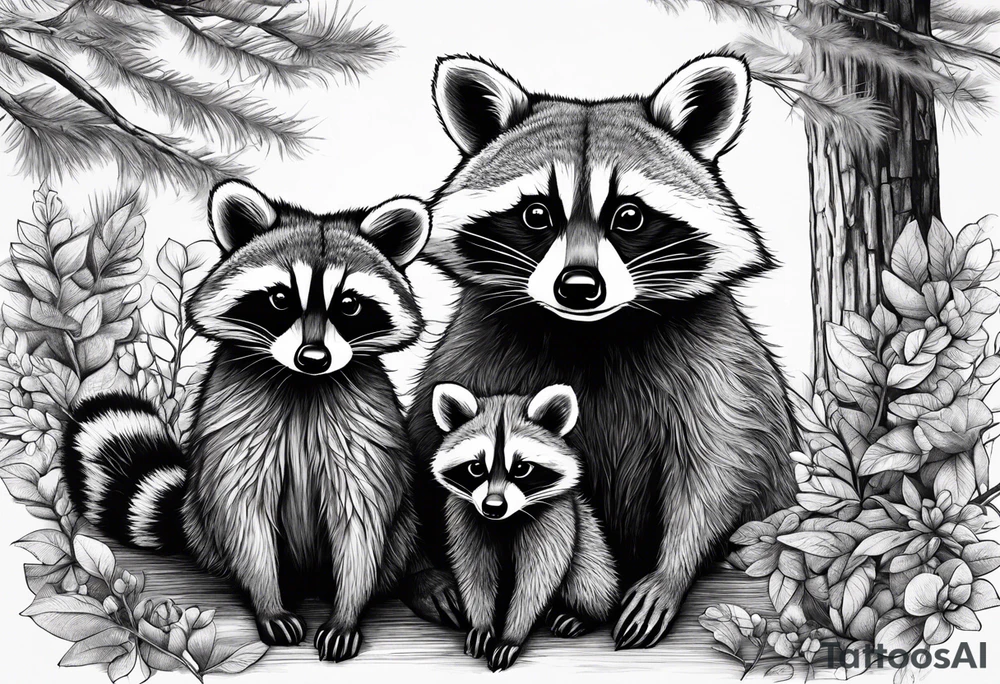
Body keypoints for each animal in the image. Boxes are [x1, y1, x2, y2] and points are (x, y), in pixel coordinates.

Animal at [62, 180, 429, 662]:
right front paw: (267, 601)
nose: (314, 358)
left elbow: (360, 513)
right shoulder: (236, 416)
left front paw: (348, 610)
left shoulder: (362, 418)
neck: (303, 384)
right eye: (280, 299)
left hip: (405, 527)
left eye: (349, 304)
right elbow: (242, 508)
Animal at [431, 383, 616, 671]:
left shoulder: (555, 517)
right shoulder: (465, 514)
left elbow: (538, 576)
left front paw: (512, 635)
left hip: (591, 541)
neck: (505, 520)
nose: (493, 507)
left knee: (590, 576)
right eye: (476, 468)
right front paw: (482, 624)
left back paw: (584, 614)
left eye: (521, 468)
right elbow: (474, 570)